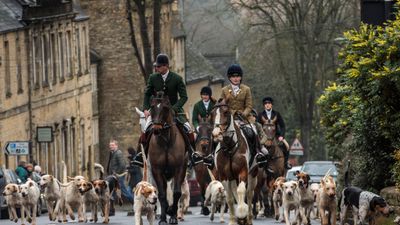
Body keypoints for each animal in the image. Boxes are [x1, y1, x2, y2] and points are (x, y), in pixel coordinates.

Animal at [148, 92, 188, 225]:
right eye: (152, 107)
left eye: (165, 108)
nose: (156, 129)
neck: (166, 141)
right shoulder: (157, 170)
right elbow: (161, 194)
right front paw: (163, 218)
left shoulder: (179, 169)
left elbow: (176, 193)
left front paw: (173, 216)